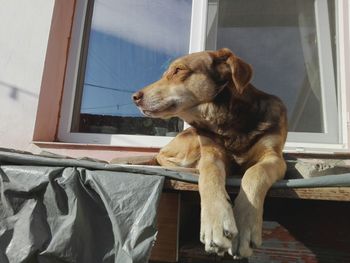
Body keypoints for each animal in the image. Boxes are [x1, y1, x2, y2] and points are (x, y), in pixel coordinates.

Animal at [131, 48, 288, 258]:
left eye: (178, 70)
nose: (134, 97)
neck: (227, 120)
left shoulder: (274, 157)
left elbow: (255, 172)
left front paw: (245, 223)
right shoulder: (211, 152)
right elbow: (209, 174)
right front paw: (216, 220)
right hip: (192, 140)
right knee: (164, 156)